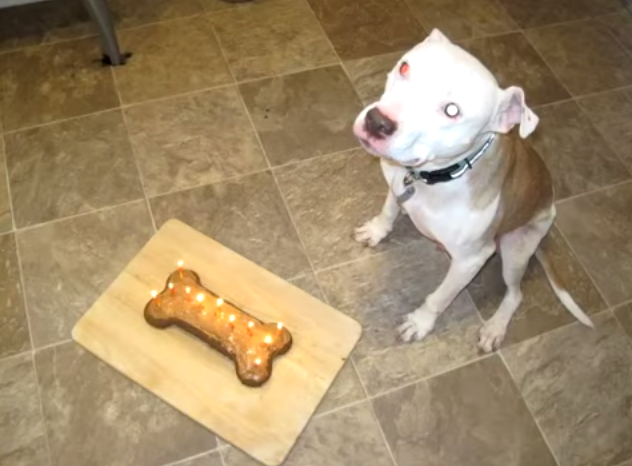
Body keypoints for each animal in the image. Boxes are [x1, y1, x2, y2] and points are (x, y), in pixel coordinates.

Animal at [352, 28, 593, 353]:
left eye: (452, 110)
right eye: (405, 68)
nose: (377, 122)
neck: (434, 177)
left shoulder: (472, 260)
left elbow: (441, 296)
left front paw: (420, 322)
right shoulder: (397, 183)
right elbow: (389, 210)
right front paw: (376, 230)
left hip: (515, 248)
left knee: (515, 294)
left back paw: (495, 327)